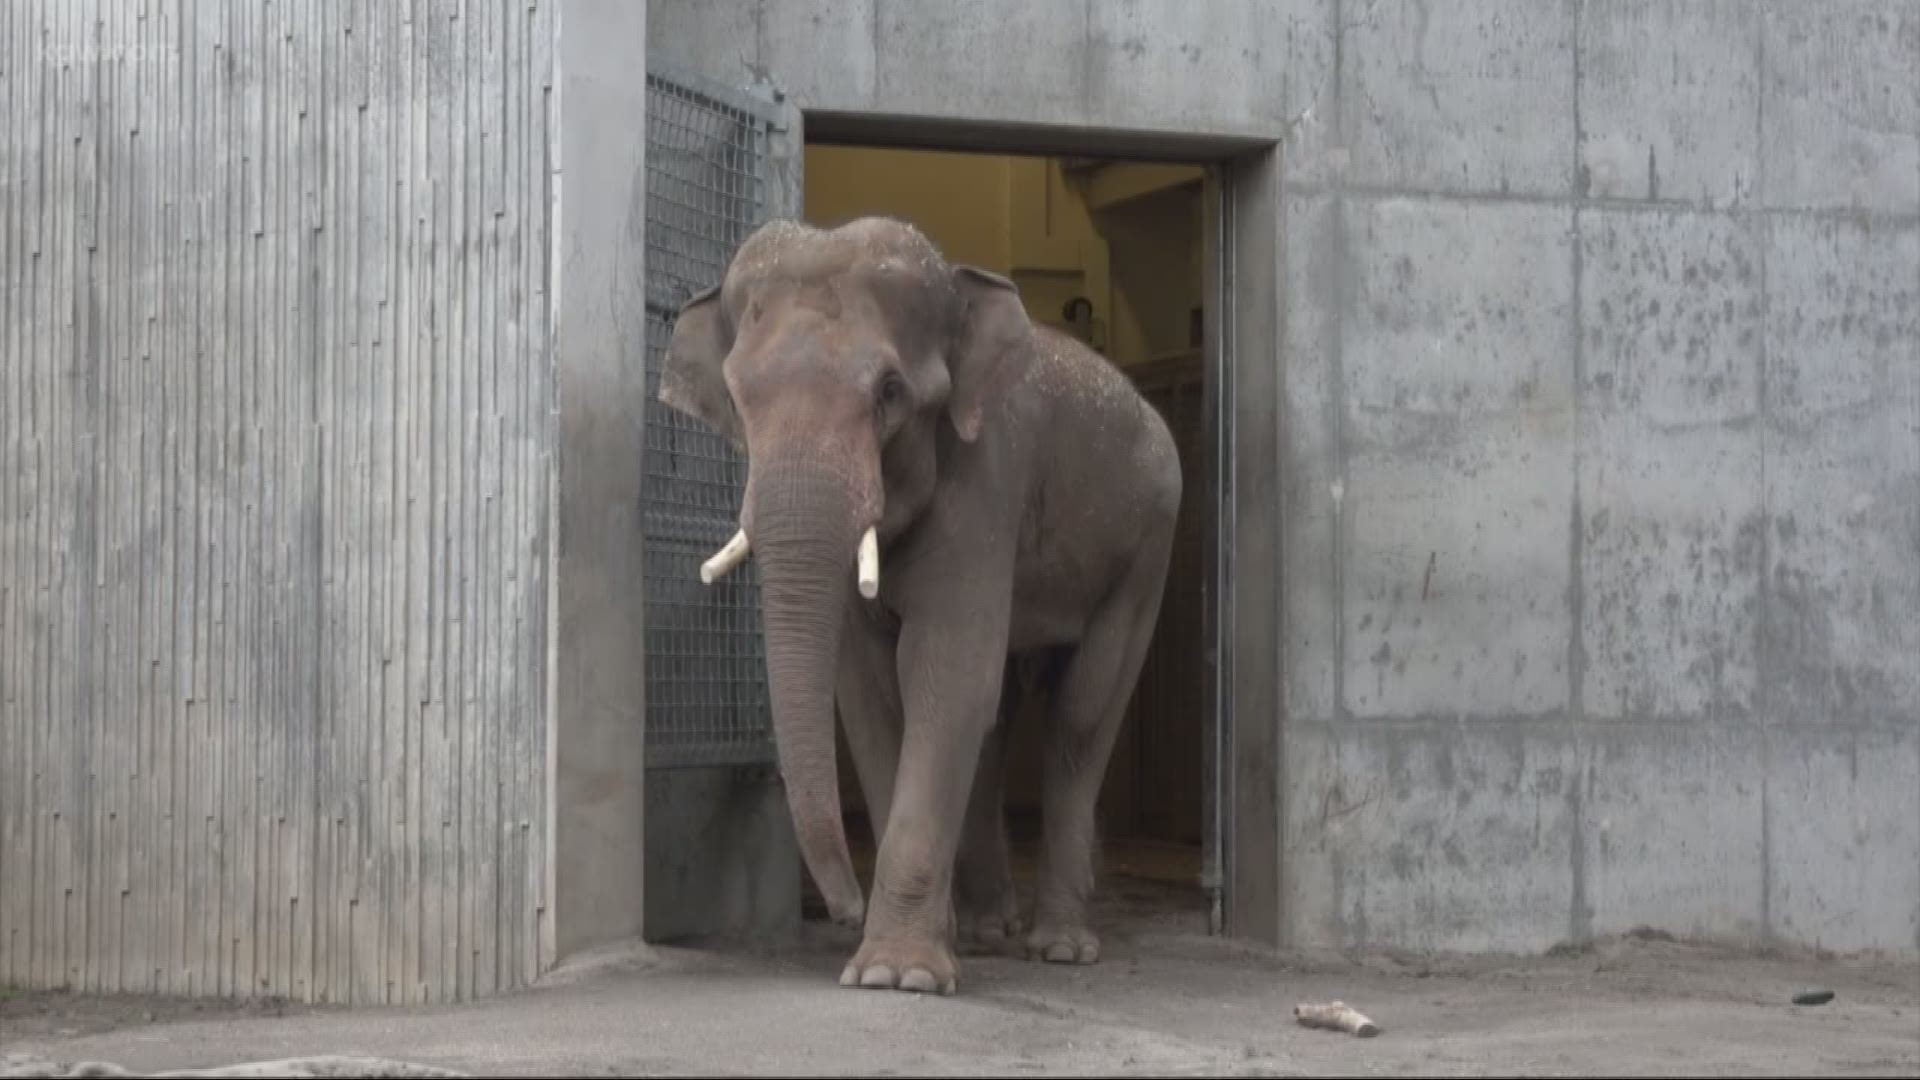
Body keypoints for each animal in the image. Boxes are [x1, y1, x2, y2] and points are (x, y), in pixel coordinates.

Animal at [664, 212, 1182, 991]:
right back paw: (988, 932)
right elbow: (875, 693)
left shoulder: (988, 475)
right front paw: (915, 954)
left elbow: (944, 672)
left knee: (1082, 714)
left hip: (1149, 541)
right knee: (998, 719)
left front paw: (895, 975)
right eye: (737, 396)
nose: (839, 908)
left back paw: (1060, 948)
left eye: (889, 392)